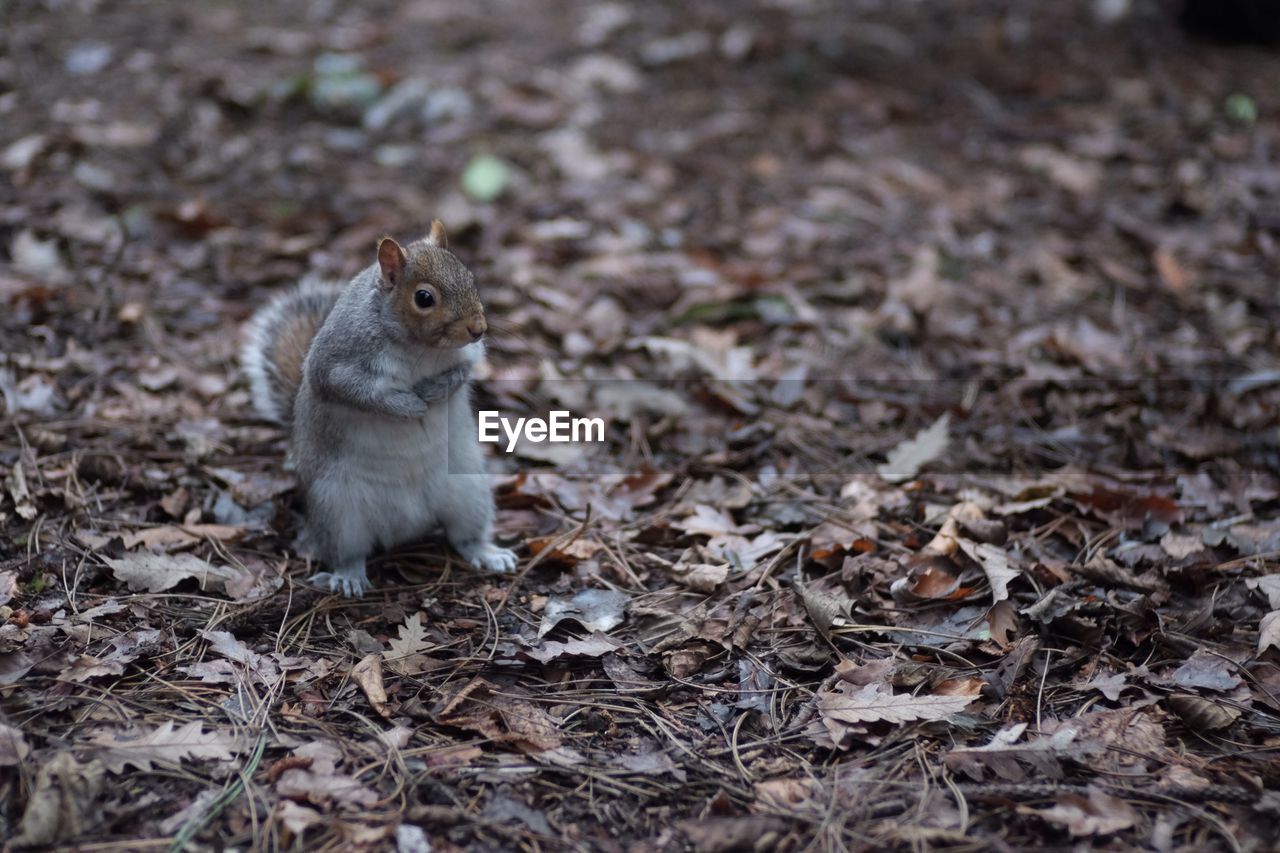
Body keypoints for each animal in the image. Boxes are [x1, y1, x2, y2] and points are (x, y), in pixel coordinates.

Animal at [241, 217, 517, 591]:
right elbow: (356, 391)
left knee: (465, 536)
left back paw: (488, 553)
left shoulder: (469, 354)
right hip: (337, 509)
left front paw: (433, 391)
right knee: (348, 552)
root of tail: (406, 525)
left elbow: (463, 371)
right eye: (424, 298)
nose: (478, 328)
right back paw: (348, 577)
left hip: (469, 490)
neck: (418, 347)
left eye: (471, 278)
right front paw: (408, 406)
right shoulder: (335, 361)